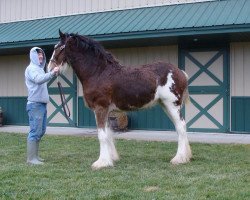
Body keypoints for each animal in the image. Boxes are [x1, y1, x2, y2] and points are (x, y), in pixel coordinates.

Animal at [48, 30, 191, 170]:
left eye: (58, 47)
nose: (50, 67)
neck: (98, 72)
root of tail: (180, 72)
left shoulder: (100, 108)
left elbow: (102, 135)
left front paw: (101, 162)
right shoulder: (104, 111)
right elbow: (108, 133)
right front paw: (111, 158)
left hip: (172, 105)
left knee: (181, 127)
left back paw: (179, 159)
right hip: (166, 106)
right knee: (179, 128)